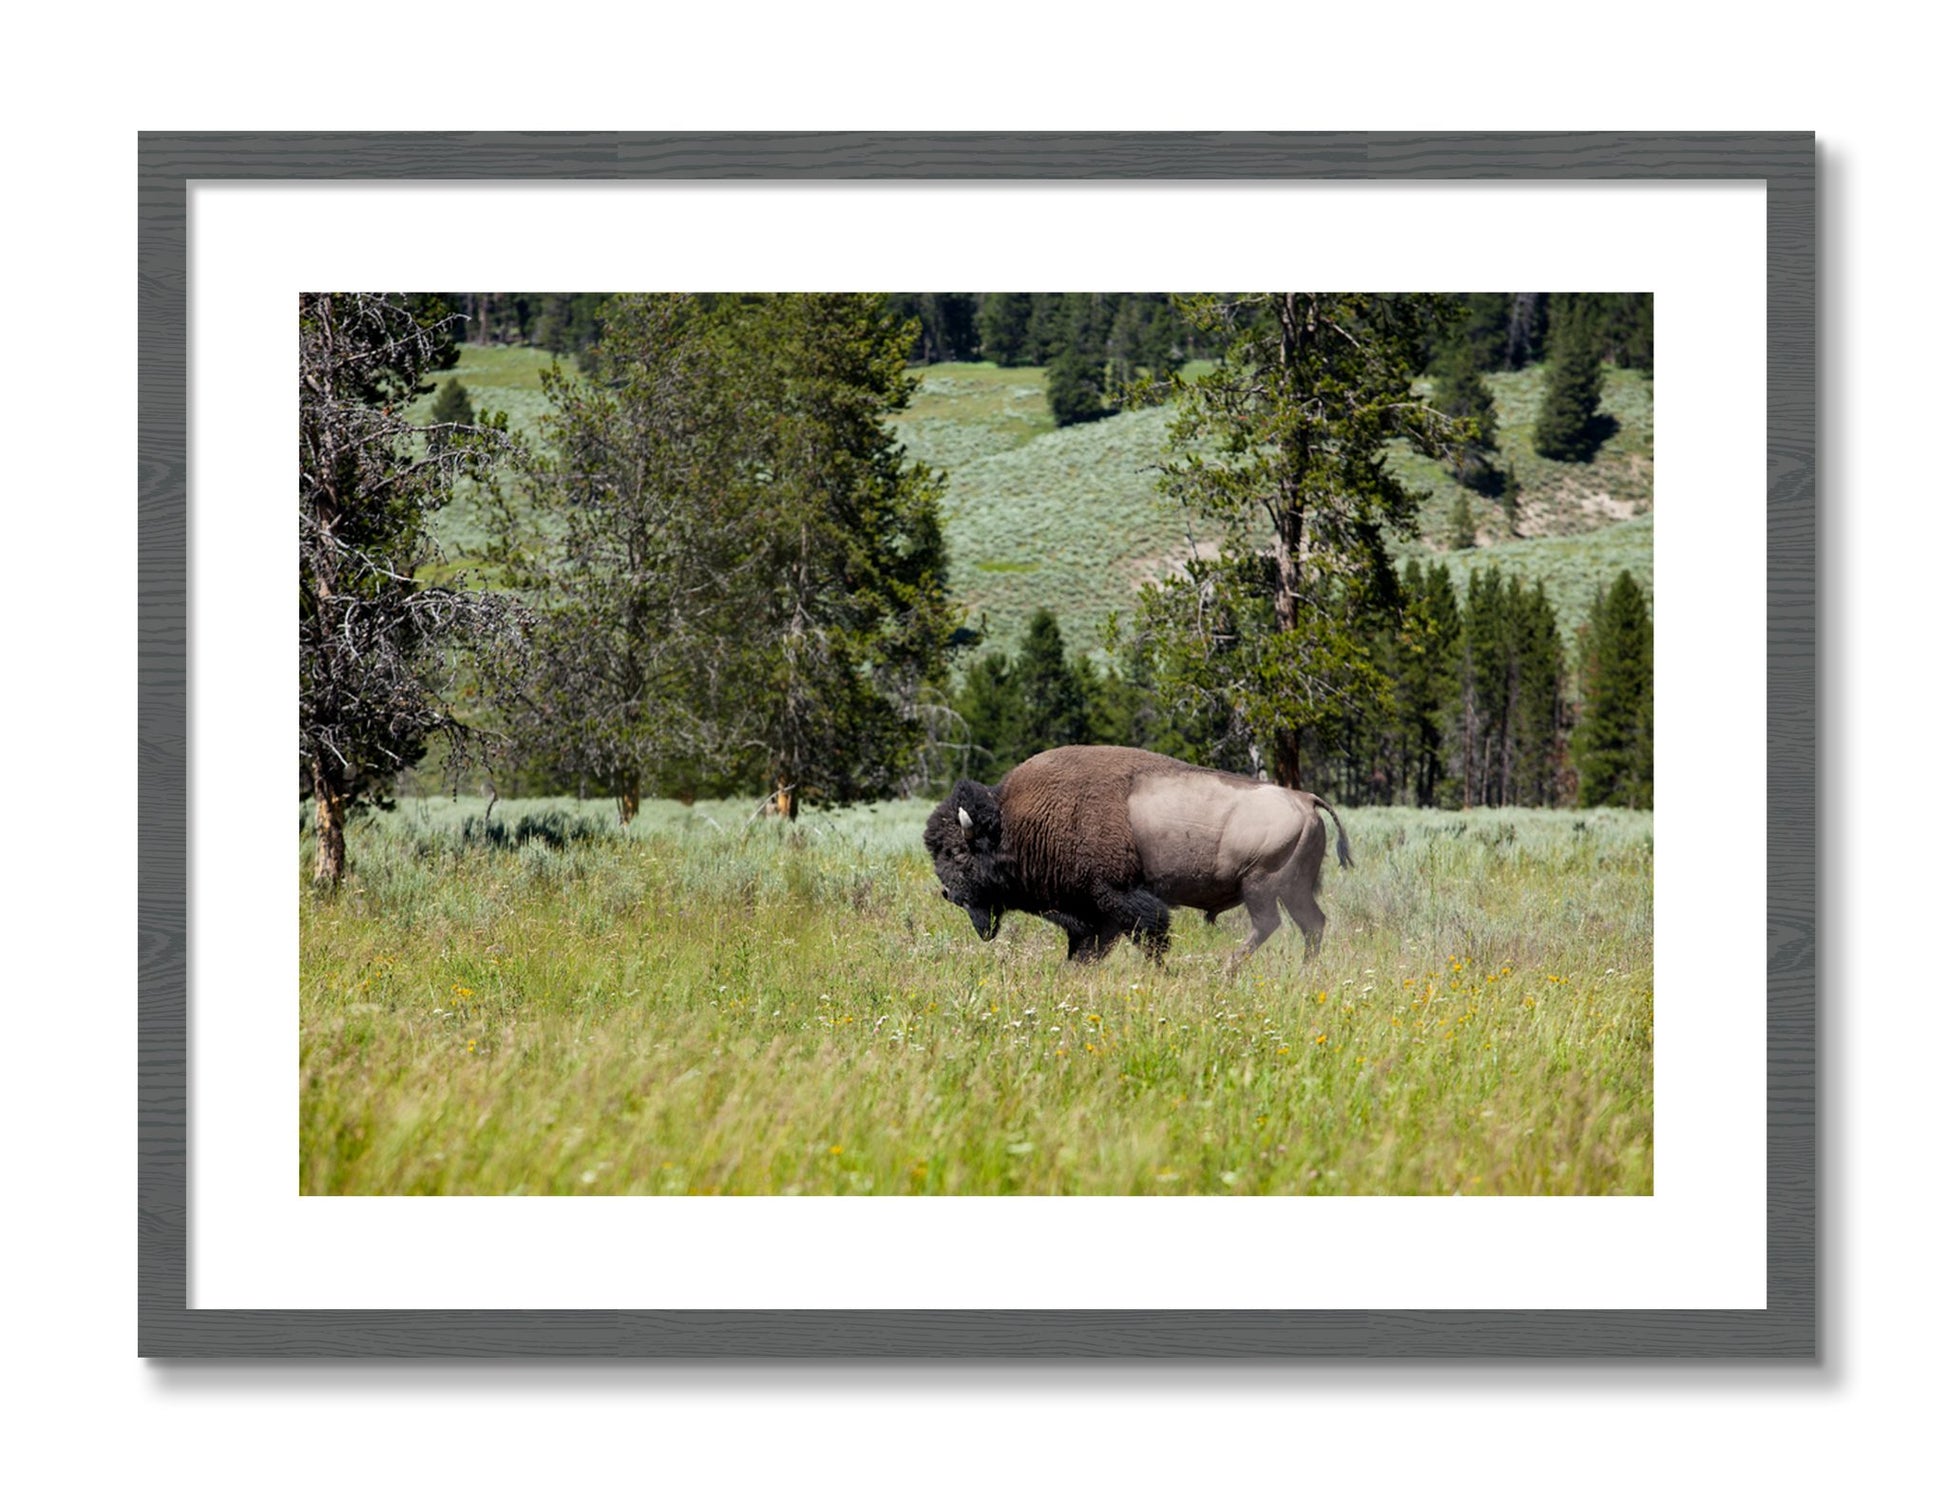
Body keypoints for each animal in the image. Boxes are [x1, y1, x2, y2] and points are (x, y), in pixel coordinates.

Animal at [923, 745, 1351, 968]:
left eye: (957, 852)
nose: (948, 893)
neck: (1014, 822)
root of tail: (1305, 799)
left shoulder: (1118, 898)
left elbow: (1149, 936)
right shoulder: (1094, 914)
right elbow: (1088, 948)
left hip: (1261, 885)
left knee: (1270, 925)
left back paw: (1226, 971)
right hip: (1293, 889)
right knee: (1312, 924)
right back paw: (1302, 971)